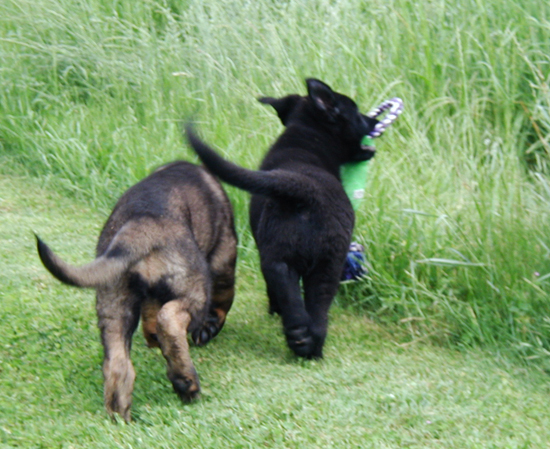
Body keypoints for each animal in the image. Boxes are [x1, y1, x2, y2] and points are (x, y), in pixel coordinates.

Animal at [34, 160, 237, 420]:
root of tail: (137, 229)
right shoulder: (224, 255)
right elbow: (222, 302)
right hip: (194, 291)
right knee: (170, 320)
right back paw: (186, 382)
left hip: (114, 302)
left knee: (118, 363)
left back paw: (119, 414)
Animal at [188, 79, 382, 358]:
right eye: (356, 112)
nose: (374, 120)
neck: (306, 138)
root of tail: (305, 189)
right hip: (323, 263)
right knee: (311, 307)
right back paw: (309, 345)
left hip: (288, 259)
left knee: (295, 299)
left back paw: (301, 339)